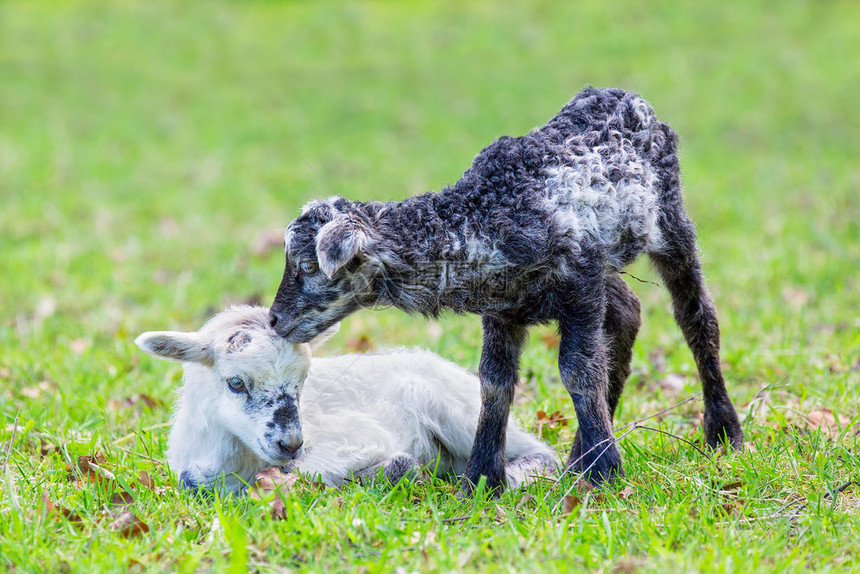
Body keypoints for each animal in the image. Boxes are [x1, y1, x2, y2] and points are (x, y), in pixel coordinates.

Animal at [134, 306, 556, 496]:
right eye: (236, 383)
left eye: (303, 380)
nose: (290, 442)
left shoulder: (352, 438)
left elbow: (309, 472)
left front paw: (396, 469)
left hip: (460, 412)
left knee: (540, 454)